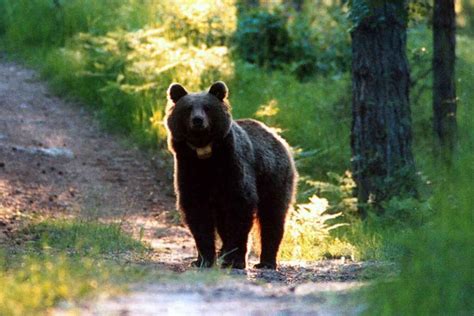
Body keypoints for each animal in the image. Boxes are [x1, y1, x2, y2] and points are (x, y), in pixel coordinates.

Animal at [165, 81, 294, 270]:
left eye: (207, 107)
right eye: (188, 108)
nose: (198, 120)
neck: (205, 154)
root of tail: (276, 136)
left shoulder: (233, 167)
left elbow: (240, 209)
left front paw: (235, 260)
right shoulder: (189, 169)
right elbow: (197, 213)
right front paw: (203, 260)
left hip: (273, 176)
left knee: (272, 215)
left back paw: (266, 262)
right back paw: (223, 253)